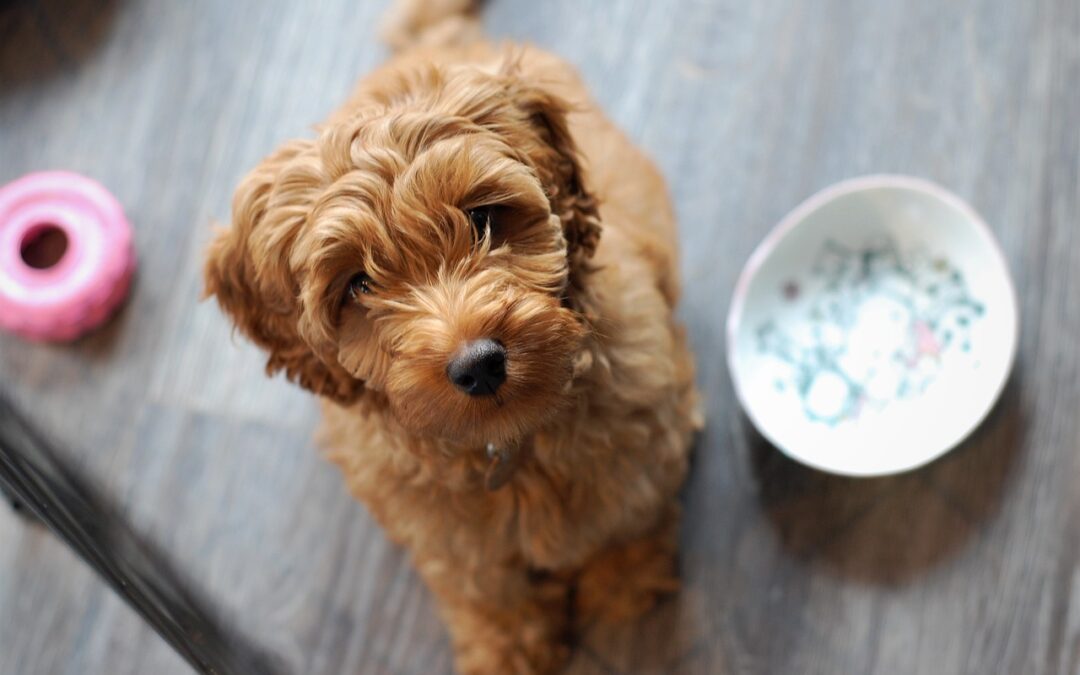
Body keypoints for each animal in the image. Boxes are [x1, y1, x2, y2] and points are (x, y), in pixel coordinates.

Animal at [206, 3, 704, 669]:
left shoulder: (643, 430)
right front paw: (509, 645)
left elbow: (627, 512)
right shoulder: (434, 525)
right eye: (358, 284)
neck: (509, 447)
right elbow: (481, 578)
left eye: (482, 218)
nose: (478, 364)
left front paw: (623, 581)